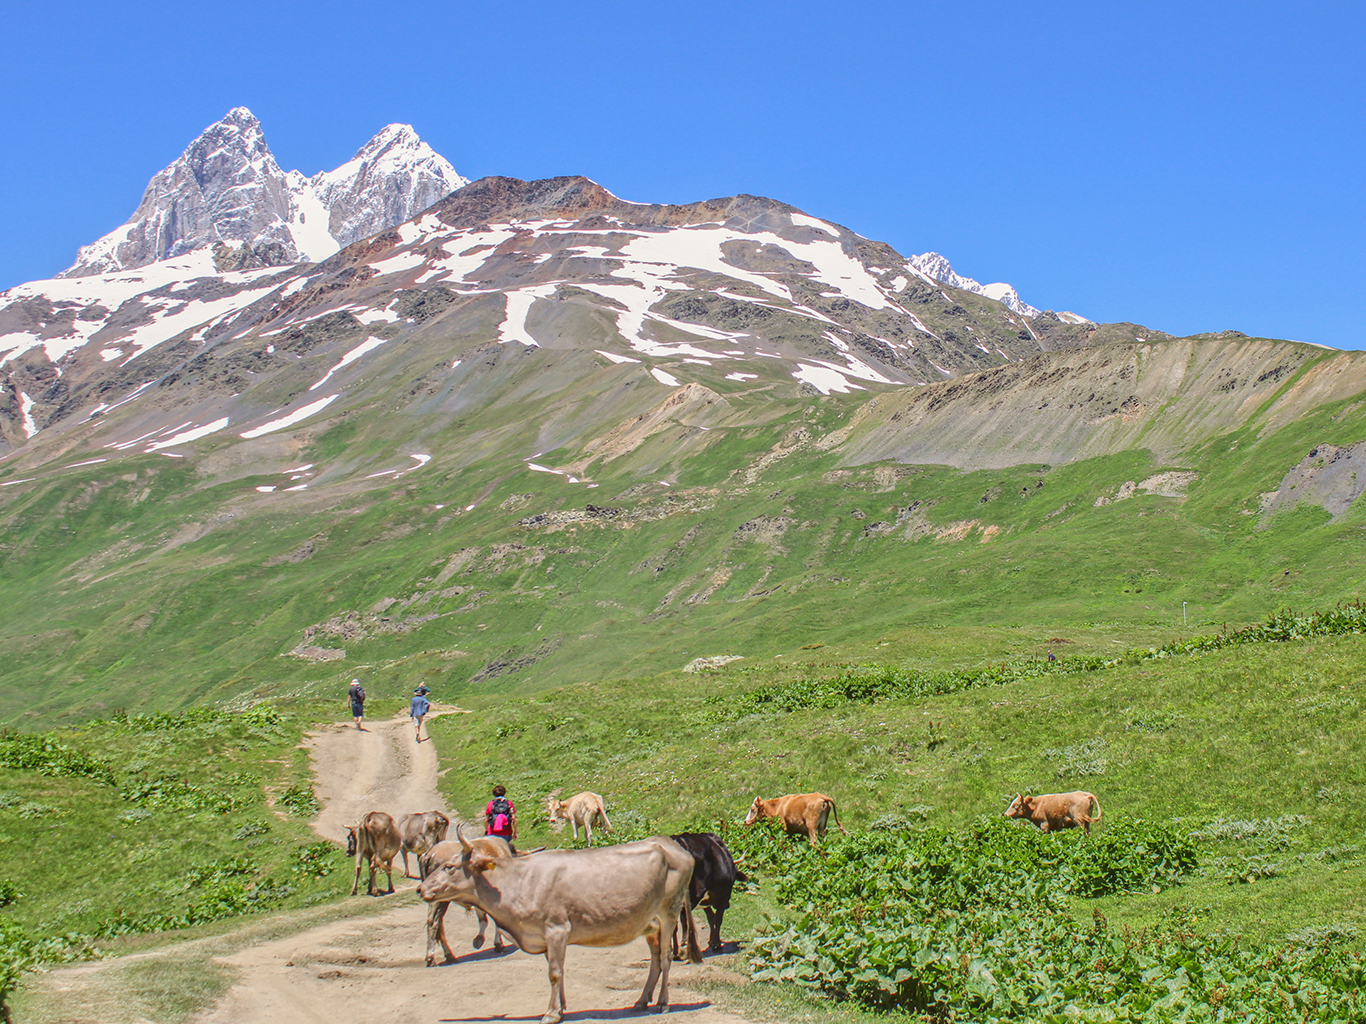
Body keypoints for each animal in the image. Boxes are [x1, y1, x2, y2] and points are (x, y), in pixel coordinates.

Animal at [415, 835, 699, 1024]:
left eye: (449, 867)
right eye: (442, 865)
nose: (420, 888)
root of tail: (673, 845)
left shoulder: (557, 929)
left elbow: (554, 973)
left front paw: (551, 1013)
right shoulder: (543, 936)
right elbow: (558, 971)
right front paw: (561, 1008)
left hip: (669, 913)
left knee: (665, 958)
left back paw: (662, 1002)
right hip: (650, 924)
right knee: (655, 959)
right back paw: (641, 1001)